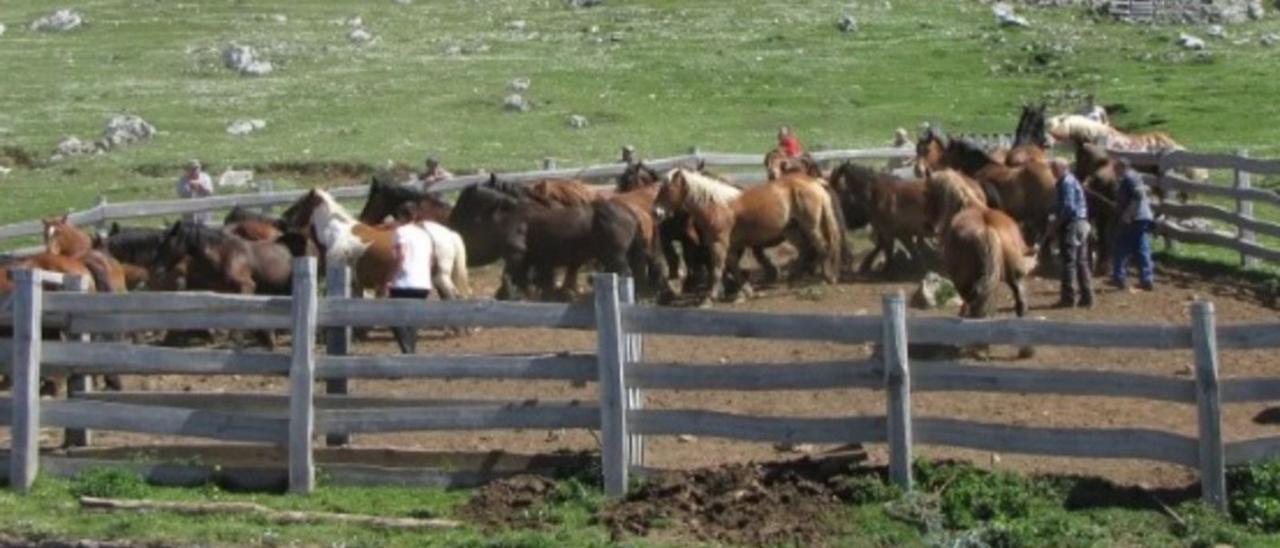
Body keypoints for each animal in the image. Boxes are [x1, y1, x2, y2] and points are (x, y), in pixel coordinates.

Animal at [926, 169, 1034, 318]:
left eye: (928, 194)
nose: (930, 226)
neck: (966, 206)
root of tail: (989, 230)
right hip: (1014, 276)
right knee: (1020, 300)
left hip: (965, 281)